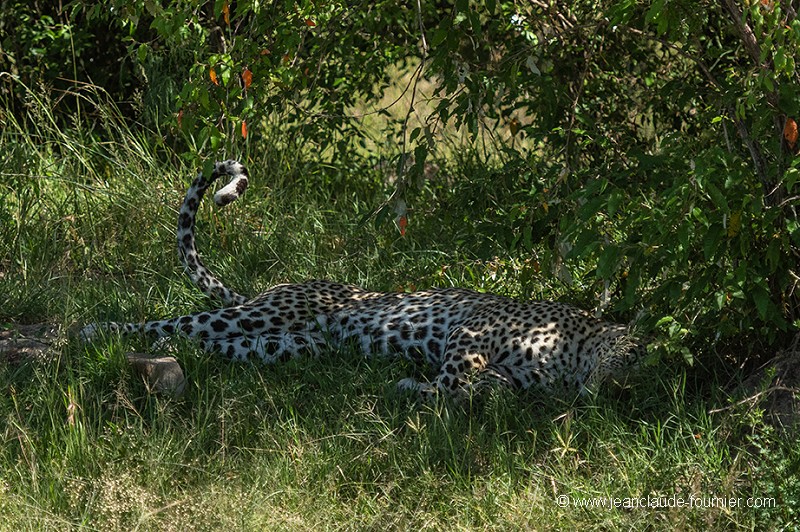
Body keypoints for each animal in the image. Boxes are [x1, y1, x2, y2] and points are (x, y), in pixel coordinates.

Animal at [79, 160, 644, 396]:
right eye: (636, 356)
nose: (621, 390)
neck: (574, 353)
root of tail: (272, 289)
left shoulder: (516, 375)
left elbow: (488, 388)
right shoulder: (472, 332)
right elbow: (454, 378)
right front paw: (415, 387)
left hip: (289, 344)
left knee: (200, 340)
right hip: (265, 313)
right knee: (173, 322)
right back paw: (91, 333)